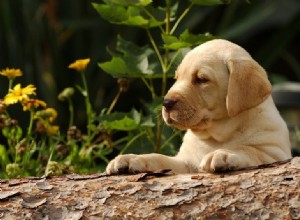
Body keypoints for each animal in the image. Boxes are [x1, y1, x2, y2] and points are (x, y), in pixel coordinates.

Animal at [105, 39, 290, 174]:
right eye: (177, 78)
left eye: (201, 79)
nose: (166, 103)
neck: (217, 135)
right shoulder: (185, 162)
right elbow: (158, 158)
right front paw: (132, 158)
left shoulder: (275, 154)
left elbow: (249, 150)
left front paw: (223, 153)